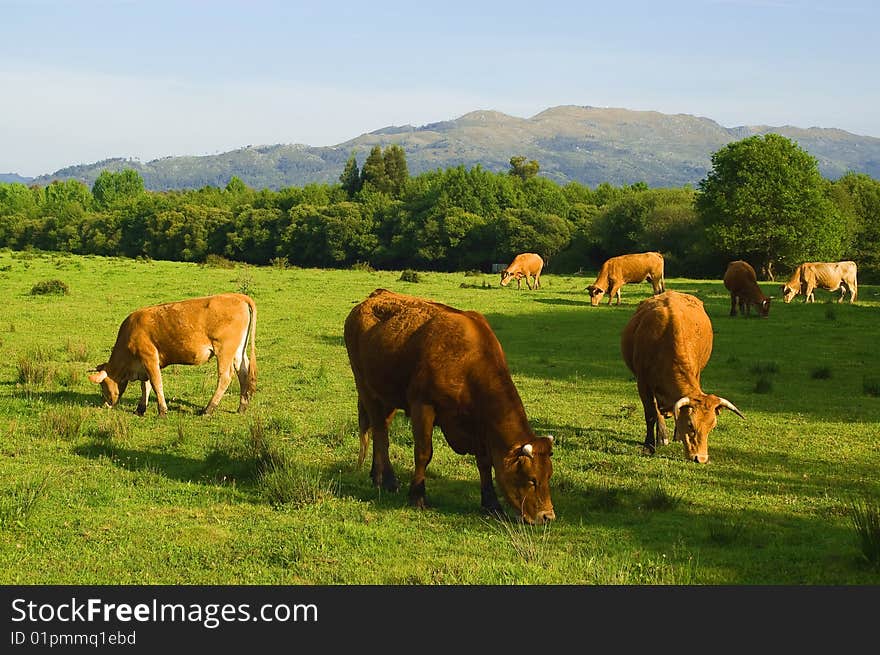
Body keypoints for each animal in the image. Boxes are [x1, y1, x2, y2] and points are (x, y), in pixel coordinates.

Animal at [87, 294, 256, 418]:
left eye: (103, 384)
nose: (107, 403)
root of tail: (236, 296)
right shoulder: (144, 364)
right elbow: (145, 386)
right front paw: (140, 409)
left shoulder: (149, 357)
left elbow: (156, 384)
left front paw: (162, 410)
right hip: (238, 351)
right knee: (243, 373)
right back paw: (242, 407)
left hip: (224, 350)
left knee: (225, 377)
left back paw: (208, 409)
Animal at [620, 290, 744, 464]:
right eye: (691, 425)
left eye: (712, 426)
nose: (701, 458)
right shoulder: (643, 383)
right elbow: (651, 414)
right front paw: (649, 446)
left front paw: (677, 435)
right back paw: (662, 437)